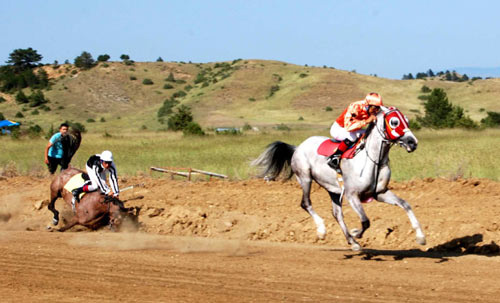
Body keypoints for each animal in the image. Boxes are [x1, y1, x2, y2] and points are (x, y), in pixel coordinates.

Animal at [252, 107, 424, 252]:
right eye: (394, 122)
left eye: (407, 120)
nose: (413, 142)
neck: (374, 160)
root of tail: (297, 147)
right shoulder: (352, 195)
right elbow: (365, 221)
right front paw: (355, 232)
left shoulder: (380, 193)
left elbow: (405, 205)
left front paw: (421, 237)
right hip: (305, 178)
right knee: (306, 203)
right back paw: (322, 231)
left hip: (333, 189)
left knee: (337, 214)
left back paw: (352, 243)